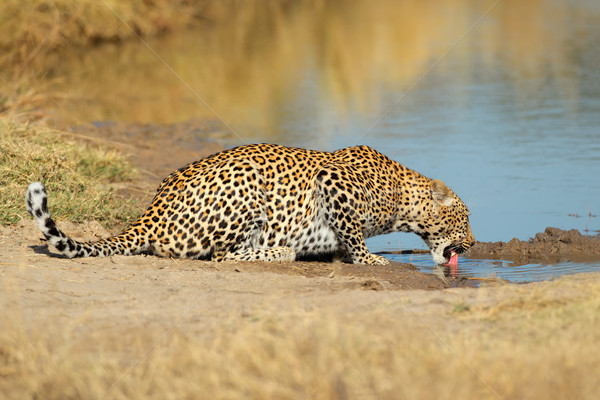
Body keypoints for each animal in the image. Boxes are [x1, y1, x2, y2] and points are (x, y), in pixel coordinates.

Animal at [25, 144, 476, 266]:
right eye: (466, 218)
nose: (472, 244)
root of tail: (151, 213)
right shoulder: (332, 180)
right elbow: (353, 234)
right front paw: (369, 259)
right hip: (247, 187)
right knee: (222, 255)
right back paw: (281, 251)